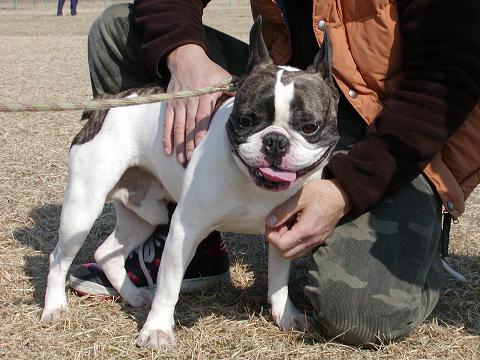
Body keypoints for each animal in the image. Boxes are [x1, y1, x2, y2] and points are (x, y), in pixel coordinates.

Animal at [43, 17, 340, 348]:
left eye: (310, 127)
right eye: (247, 120)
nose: (275, 141)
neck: (254, 185)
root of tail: (110, 103)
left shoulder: (284, 233)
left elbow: (279, 279)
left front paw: (287, 315)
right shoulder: (185, 229)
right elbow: (169, 284)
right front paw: (157, 330)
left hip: (144, 213)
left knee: (108, 253)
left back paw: (134, 296)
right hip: (83, 206)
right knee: (59, 257)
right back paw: (55, 308)